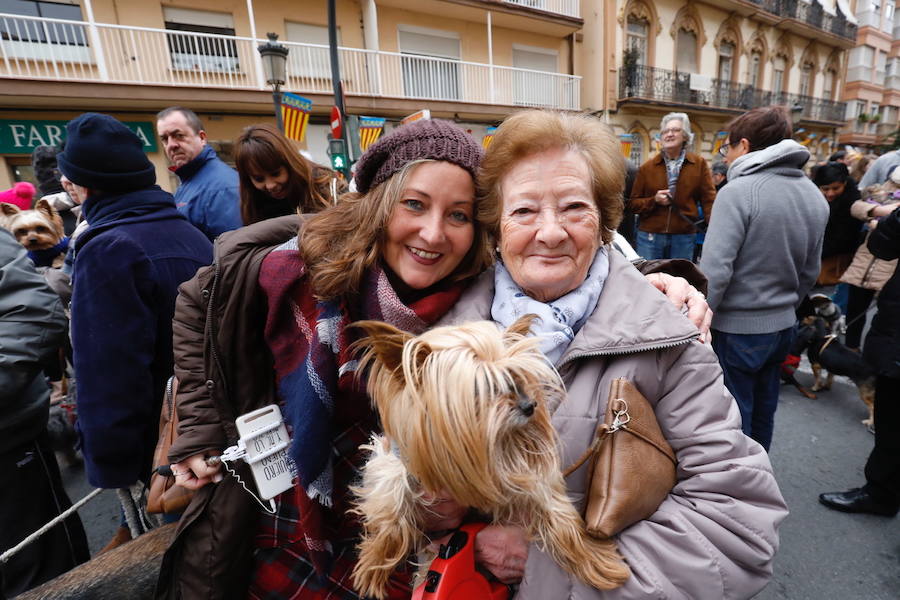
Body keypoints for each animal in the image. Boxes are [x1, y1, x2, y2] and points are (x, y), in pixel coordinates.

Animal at [348, 316, 628, 596]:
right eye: (482, 387)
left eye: (516, 377)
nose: (530, 406)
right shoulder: (395, 462)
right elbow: (390, 498)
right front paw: (375, 561)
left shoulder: (518, 475)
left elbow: (556, 510)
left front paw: (596, 560)